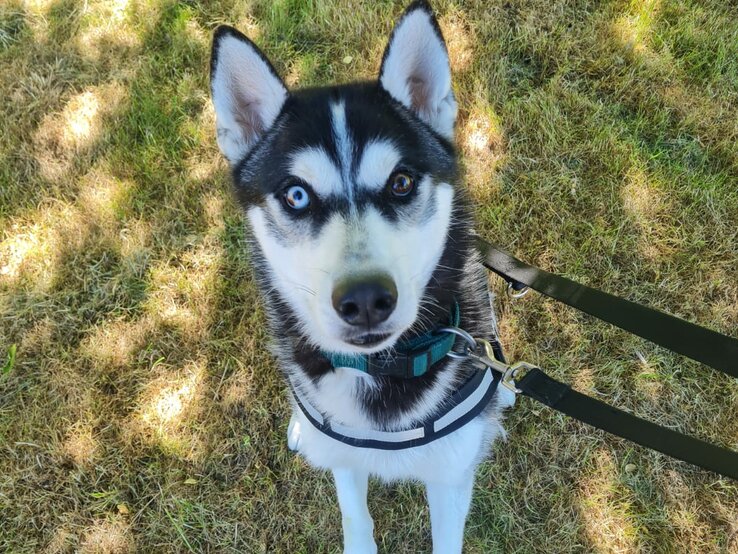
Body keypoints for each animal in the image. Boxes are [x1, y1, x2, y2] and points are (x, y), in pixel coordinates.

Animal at [210, 2, 512, 548]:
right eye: (297, 195)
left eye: (401, 183)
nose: (366, 299)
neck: (382, 370)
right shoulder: (344, 459)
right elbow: (355, 518)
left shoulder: (451, 474)